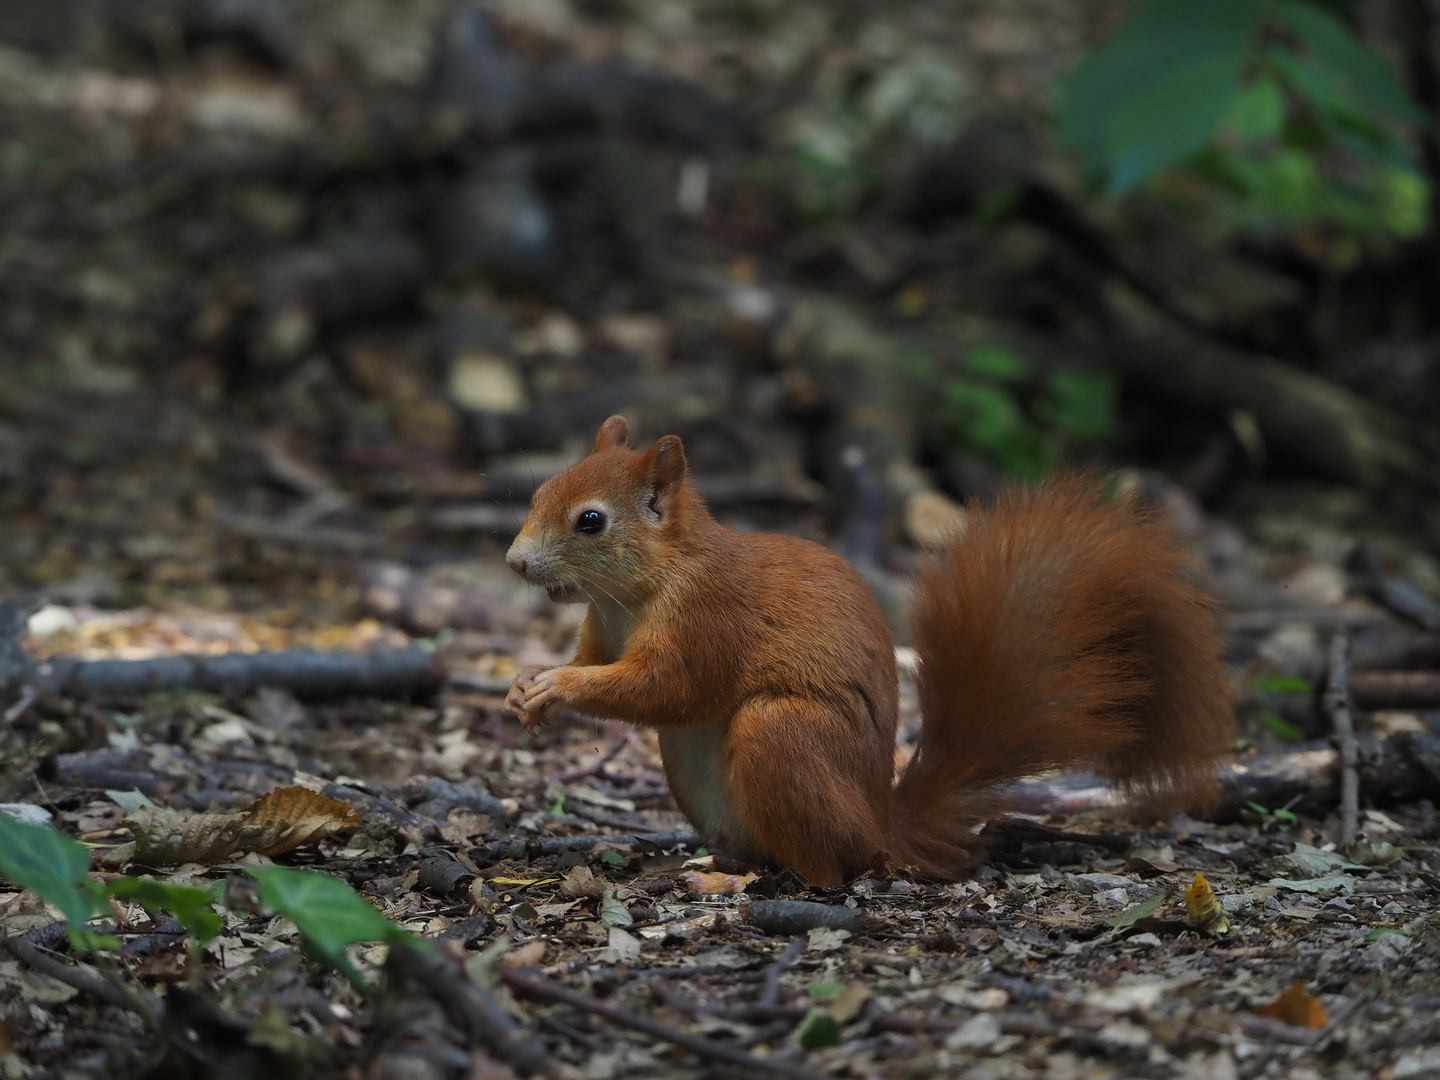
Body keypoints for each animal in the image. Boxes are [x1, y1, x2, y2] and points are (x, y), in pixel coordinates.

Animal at [501, 414, 1232, 887]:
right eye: (537, 492)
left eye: (591, 521)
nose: (514, 563)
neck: (633, 591)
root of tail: (881, 825)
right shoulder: (601, 628)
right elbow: (595, 663)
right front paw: (525, 686)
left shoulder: (708, 619)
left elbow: (671, 687)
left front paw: (558, 688)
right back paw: (720, 864)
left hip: (782, 734)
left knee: (831, 871)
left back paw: (744, 885)